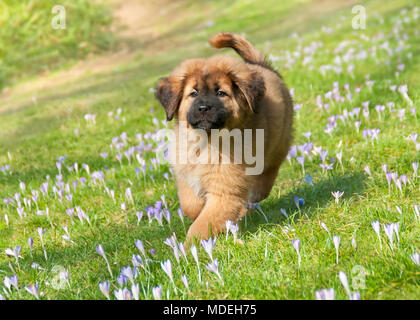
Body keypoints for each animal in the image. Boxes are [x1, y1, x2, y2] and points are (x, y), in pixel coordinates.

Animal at [154, 33, 292, 242]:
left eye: (220, 93)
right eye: (193, 93)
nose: (203, 108)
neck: (206, 142)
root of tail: (263, 67)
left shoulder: (225, 190)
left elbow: (202, 225)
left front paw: (190, 247)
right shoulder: (185, 173)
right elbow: (190, 204)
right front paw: (197, 211)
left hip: (277, 145)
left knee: (266, 176)